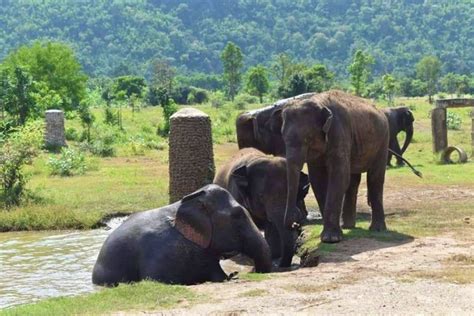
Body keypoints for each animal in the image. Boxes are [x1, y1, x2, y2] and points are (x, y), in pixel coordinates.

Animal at [92, 184, 270, 286]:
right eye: (237, 215)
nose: (253, 271)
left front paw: (231, 276)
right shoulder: (162, 251)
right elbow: (157, 279)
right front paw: (232, 276)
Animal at [276, 89, 390, 244]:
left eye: (308, 139)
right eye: (283, 138)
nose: (295, 223)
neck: (319, 101)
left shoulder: (339, 132)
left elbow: (338, 176)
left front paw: (331, 239)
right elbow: (318, 180)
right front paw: (332, 235)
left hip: (383, 141)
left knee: (375, 178)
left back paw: (377, 229)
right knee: (353, 180)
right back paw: (347, 226)